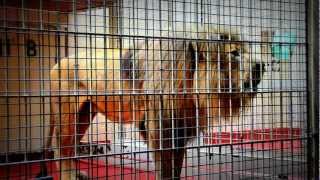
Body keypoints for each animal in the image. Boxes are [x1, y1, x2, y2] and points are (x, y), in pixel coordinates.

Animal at [40, 27, 264, 180]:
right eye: (234, 53)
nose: (262, 65)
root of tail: (57, 62)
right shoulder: (159, 130)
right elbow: (164, 171)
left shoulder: (178, 131)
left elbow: (175, 171)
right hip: (67, 115)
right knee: (61, 150)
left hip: (84, 114)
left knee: (69, 149)